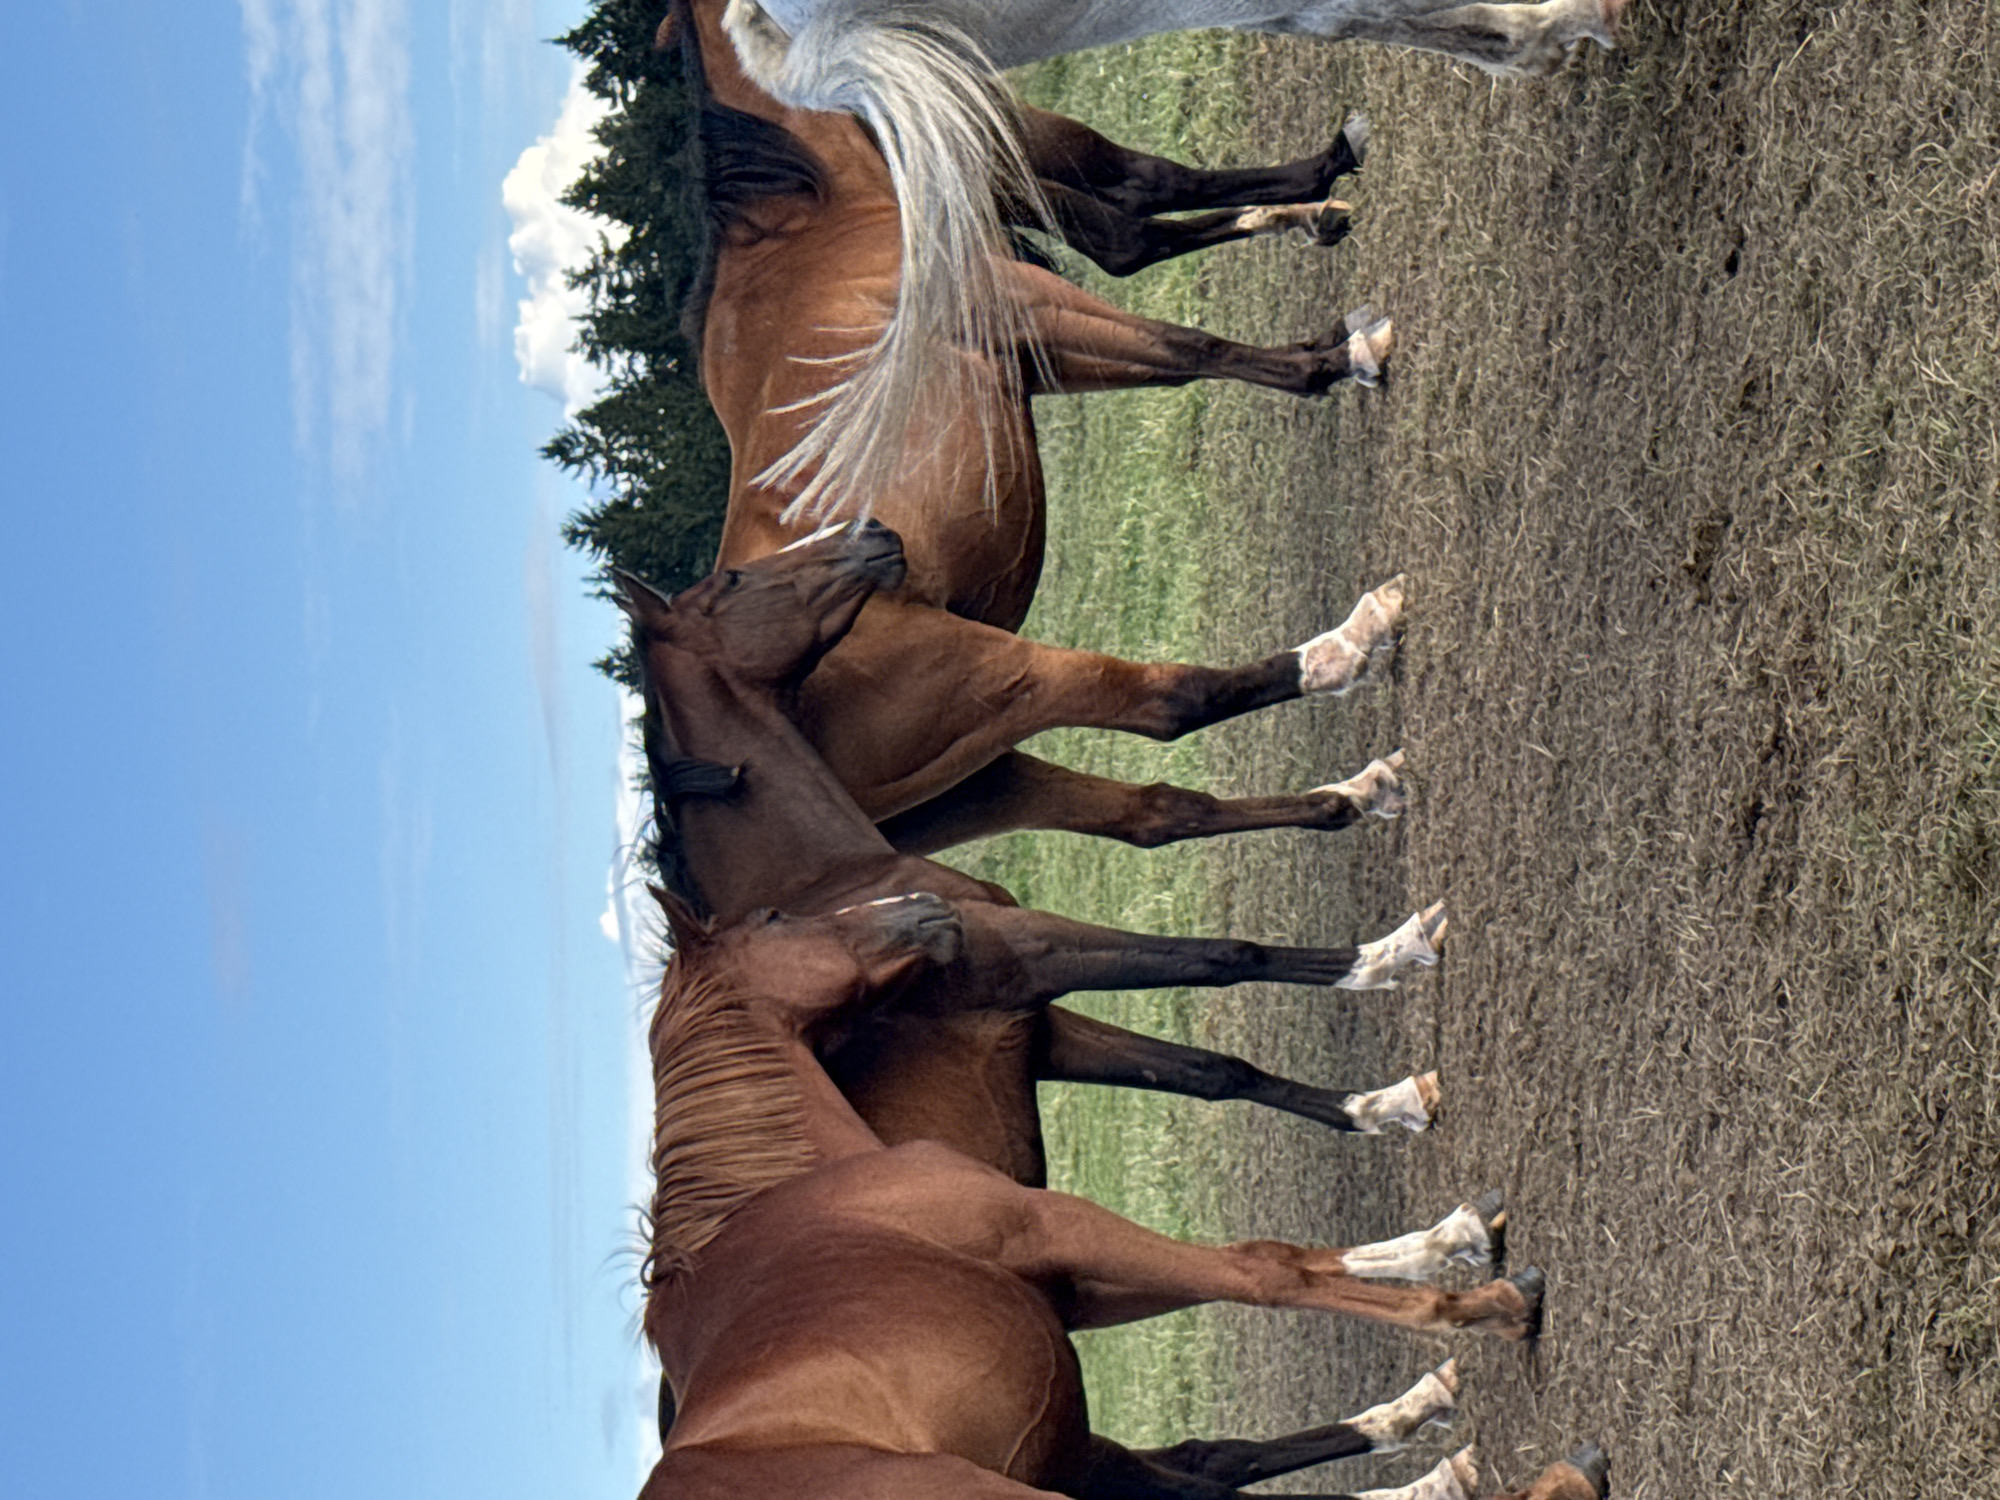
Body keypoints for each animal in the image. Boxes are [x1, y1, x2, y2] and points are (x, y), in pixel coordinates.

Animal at [638, 892, 1592, 1500]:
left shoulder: (1084, 1283)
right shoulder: (1056, 1225)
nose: (920, 904)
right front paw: (1488, 1306)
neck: (792, 1185)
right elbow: (1264, 1271)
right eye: (773, 917)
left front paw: (1449, 1242)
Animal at [670, 0, 1410, 857]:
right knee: (1168, 703)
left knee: (1155, 813)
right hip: (1007, 676)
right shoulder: (1036, 307)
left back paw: (1356, 792)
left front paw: (1315, 213)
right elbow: (1187, 339)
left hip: (978, 777)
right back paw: (1352, 643)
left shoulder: (1044, 340)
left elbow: (1155, 245)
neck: (806, 228)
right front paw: (1339, 354)